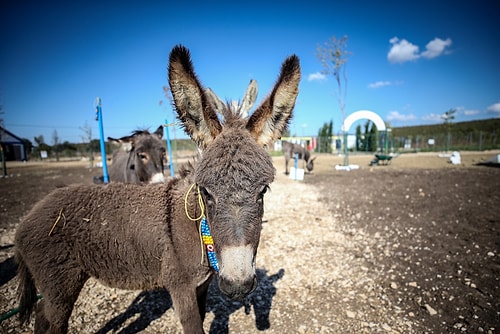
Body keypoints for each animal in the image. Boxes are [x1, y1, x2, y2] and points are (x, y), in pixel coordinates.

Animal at [14, 45, 300, 334]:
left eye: (263, 191)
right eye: (206, 192)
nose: (237, 286)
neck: (196, 228)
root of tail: (28, 217)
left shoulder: (202, 285)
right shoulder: (180, 287)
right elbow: (193, 326)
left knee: (41, 313)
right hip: (60, 284)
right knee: (53, 318)